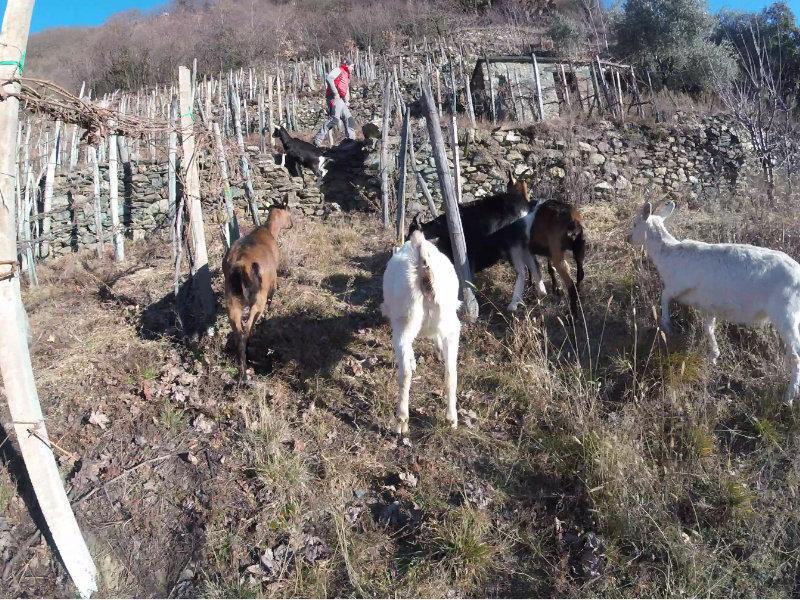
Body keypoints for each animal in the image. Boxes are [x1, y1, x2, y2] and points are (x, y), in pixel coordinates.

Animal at [222, 209, 294, 382]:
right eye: (288, 214)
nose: (292, 224)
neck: (268, 231)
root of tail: (241, 265)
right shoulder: (273, 279)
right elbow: (272, 295)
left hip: (232, 301)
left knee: (238, 333)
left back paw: (242, 371)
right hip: (257, 299)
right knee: (247, 330)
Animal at [382, 230, 462, 432]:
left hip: (404, 321)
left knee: (405, 374)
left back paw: (401, 420)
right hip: (450, 322)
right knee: (451, 373)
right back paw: (451, 419)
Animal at [632, 202, 800, 404]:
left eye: (634, 224)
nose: (628, 238)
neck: (667, 255)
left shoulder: (680, 284)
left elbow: (664, 296)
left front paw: (667, 325)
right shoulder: (708, 304)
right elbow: (708, 327)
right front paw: (713, 355)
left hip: (786, 314)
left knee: (796, 356)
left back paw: (788, 398)